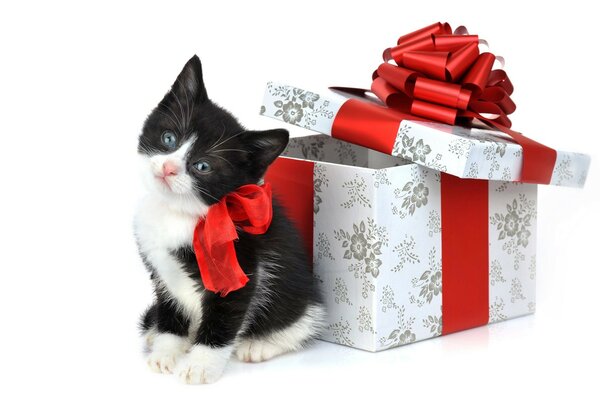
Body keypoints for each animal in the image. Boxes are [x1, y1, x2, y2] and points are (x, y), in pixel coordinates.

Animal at [134, 54, 326, 382]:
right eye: (169, 138)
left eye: (202, 166)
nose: (169, 169)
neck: (179, 212)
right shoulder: (161, 270)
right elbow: (170, 312)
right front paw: (166, 350)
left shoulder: (240, 267)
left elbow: (223, 319)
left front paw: (200, 365)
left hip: (297, 297)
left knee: (302, 323)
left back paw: (260, 344)